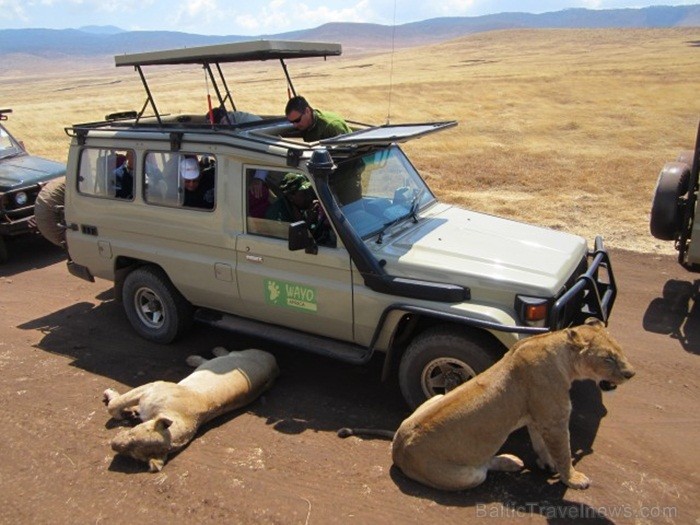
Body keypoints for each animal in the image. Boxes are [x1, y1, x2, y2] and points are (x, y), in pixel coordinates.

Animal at [102, 348, 278, 470]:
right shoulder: (151, 386)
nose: (113, 445)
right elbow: (118, 403)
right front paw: (125, 407)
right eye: (132, 434)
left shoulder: (151, 389)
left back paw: (198, 357)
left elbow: (113, 406)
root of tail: (275, 365)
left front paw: (119, 404)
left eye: (133, 453)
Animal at [340, 318, 636, 490]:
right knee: (482, 467)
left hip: (437, 397)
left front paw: (547, 463)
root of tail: (397, 447)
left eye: (619, 350)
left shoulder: (537, 415)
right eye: (608, 358)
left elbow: (540, 442)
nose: (630, 373)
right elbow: (563, 450)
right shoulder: (554, 418)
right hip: (468, 476)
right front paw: (573, 478)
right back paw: (510, 460)